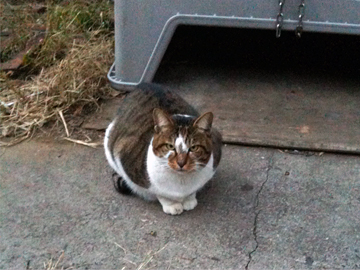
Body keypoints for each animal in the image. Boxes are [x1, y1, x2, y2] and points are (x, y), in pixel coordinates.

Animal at [103, 83, 222, 214]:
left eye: (193, 148)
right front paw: (172, 205)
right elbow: (160, 194)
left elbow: (193, 191)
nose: (181, 163)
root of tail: (142, 85)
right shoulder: (123, 153)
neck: (181, 184)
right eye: (170, 146)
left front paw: (189, 199)